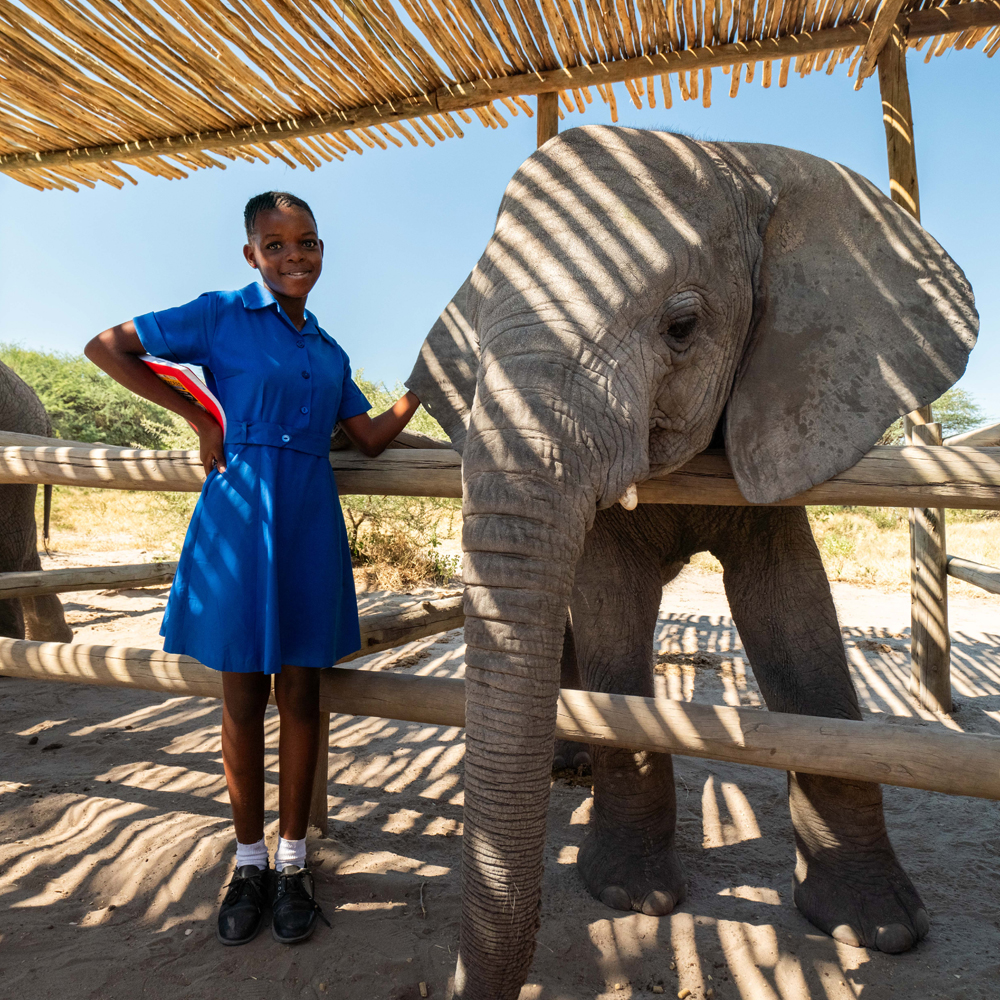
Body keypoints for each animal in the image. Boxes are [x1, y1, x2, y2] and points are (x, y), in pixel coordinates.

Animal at [404, 127, 976, 1000]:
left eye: (682, 327)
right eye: (475, 338)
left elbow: (797, 619)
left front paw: (880, 929)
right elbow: (610, 609)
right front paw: (631, 897)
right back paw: (569, 768)